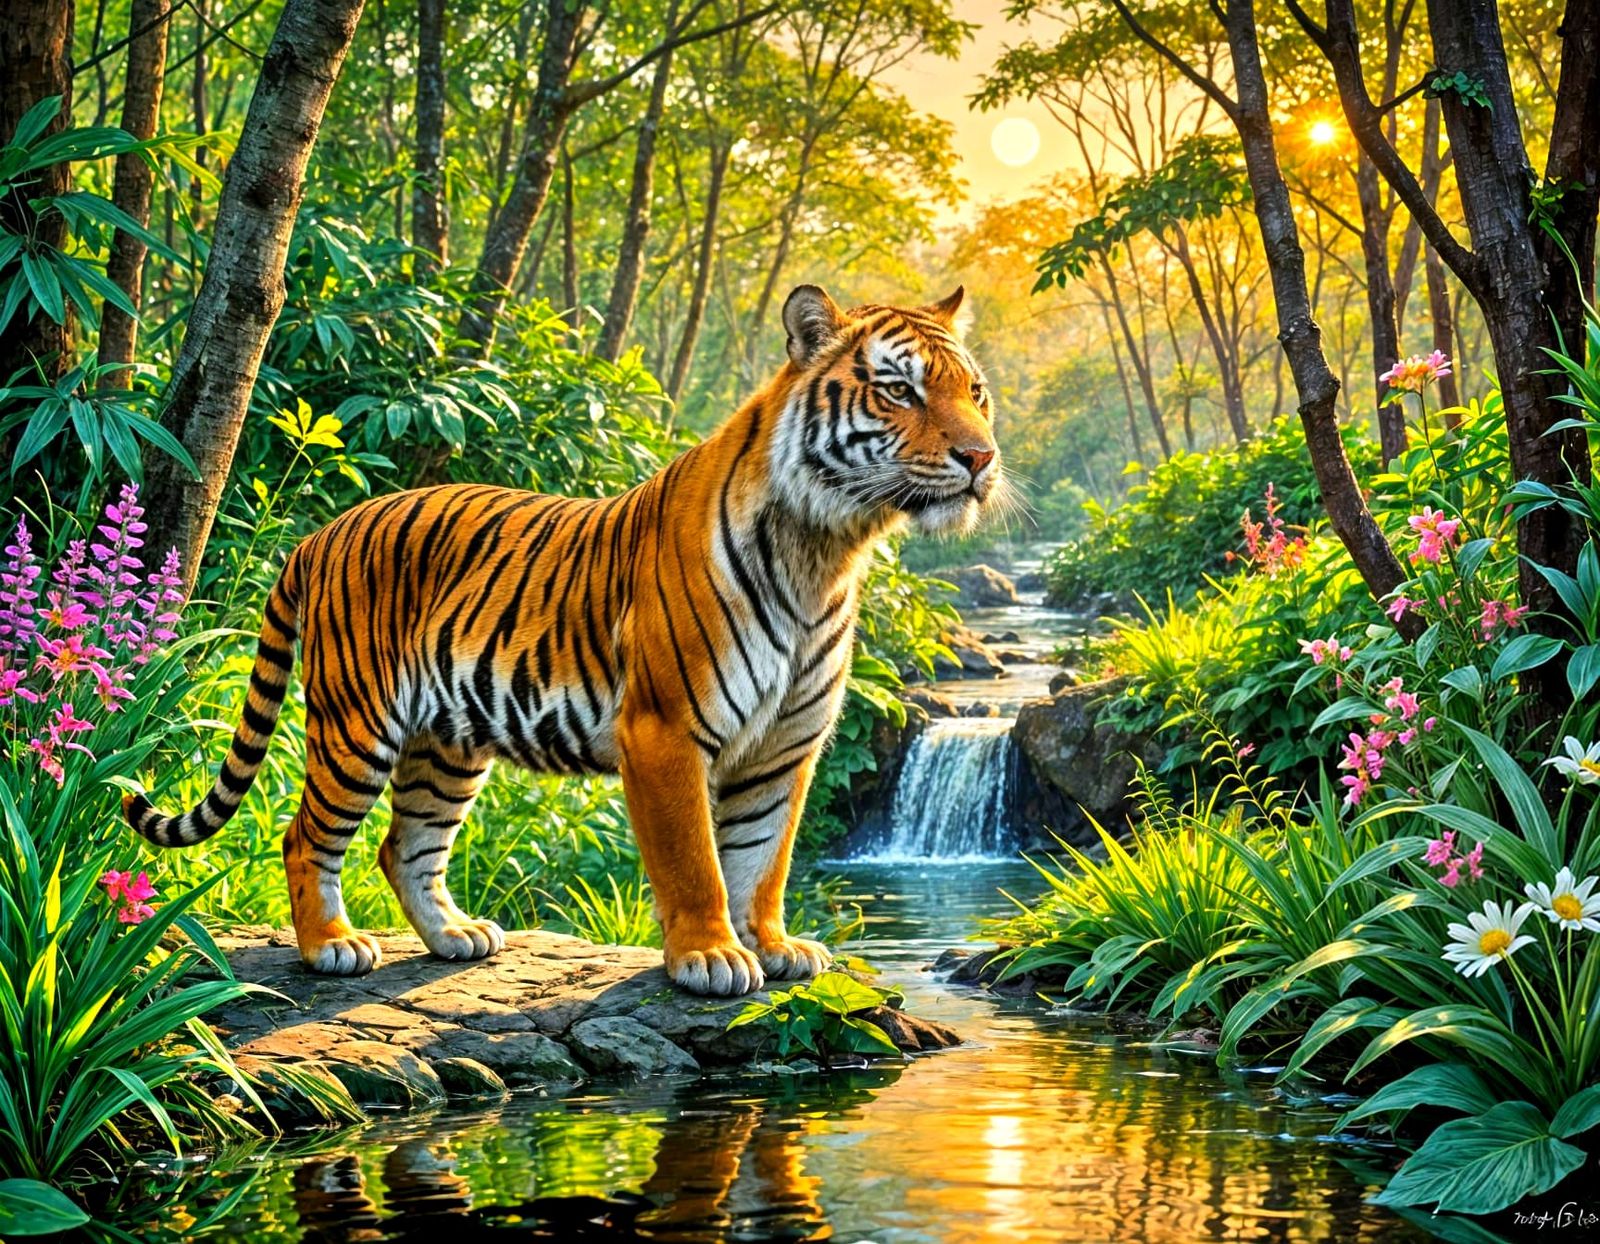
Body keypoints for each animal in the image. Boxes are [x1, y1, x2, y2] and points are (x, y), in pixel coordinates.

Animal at [125, 284, 1002, 997]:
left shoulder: (785, 745)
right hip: (356, 725)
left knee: (405, 845)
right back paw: (331, 946)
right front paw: (711, 958)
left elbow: (762, 858)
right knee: (306, 835)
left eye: (975, 392)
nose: (982, 457)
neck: (826, 546)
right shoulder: (664, 730)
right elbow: (697, 862)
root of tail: (322, 533)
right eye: (899, 390)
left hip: (447, 745)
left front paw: (774, 946)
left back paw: (456, 937)